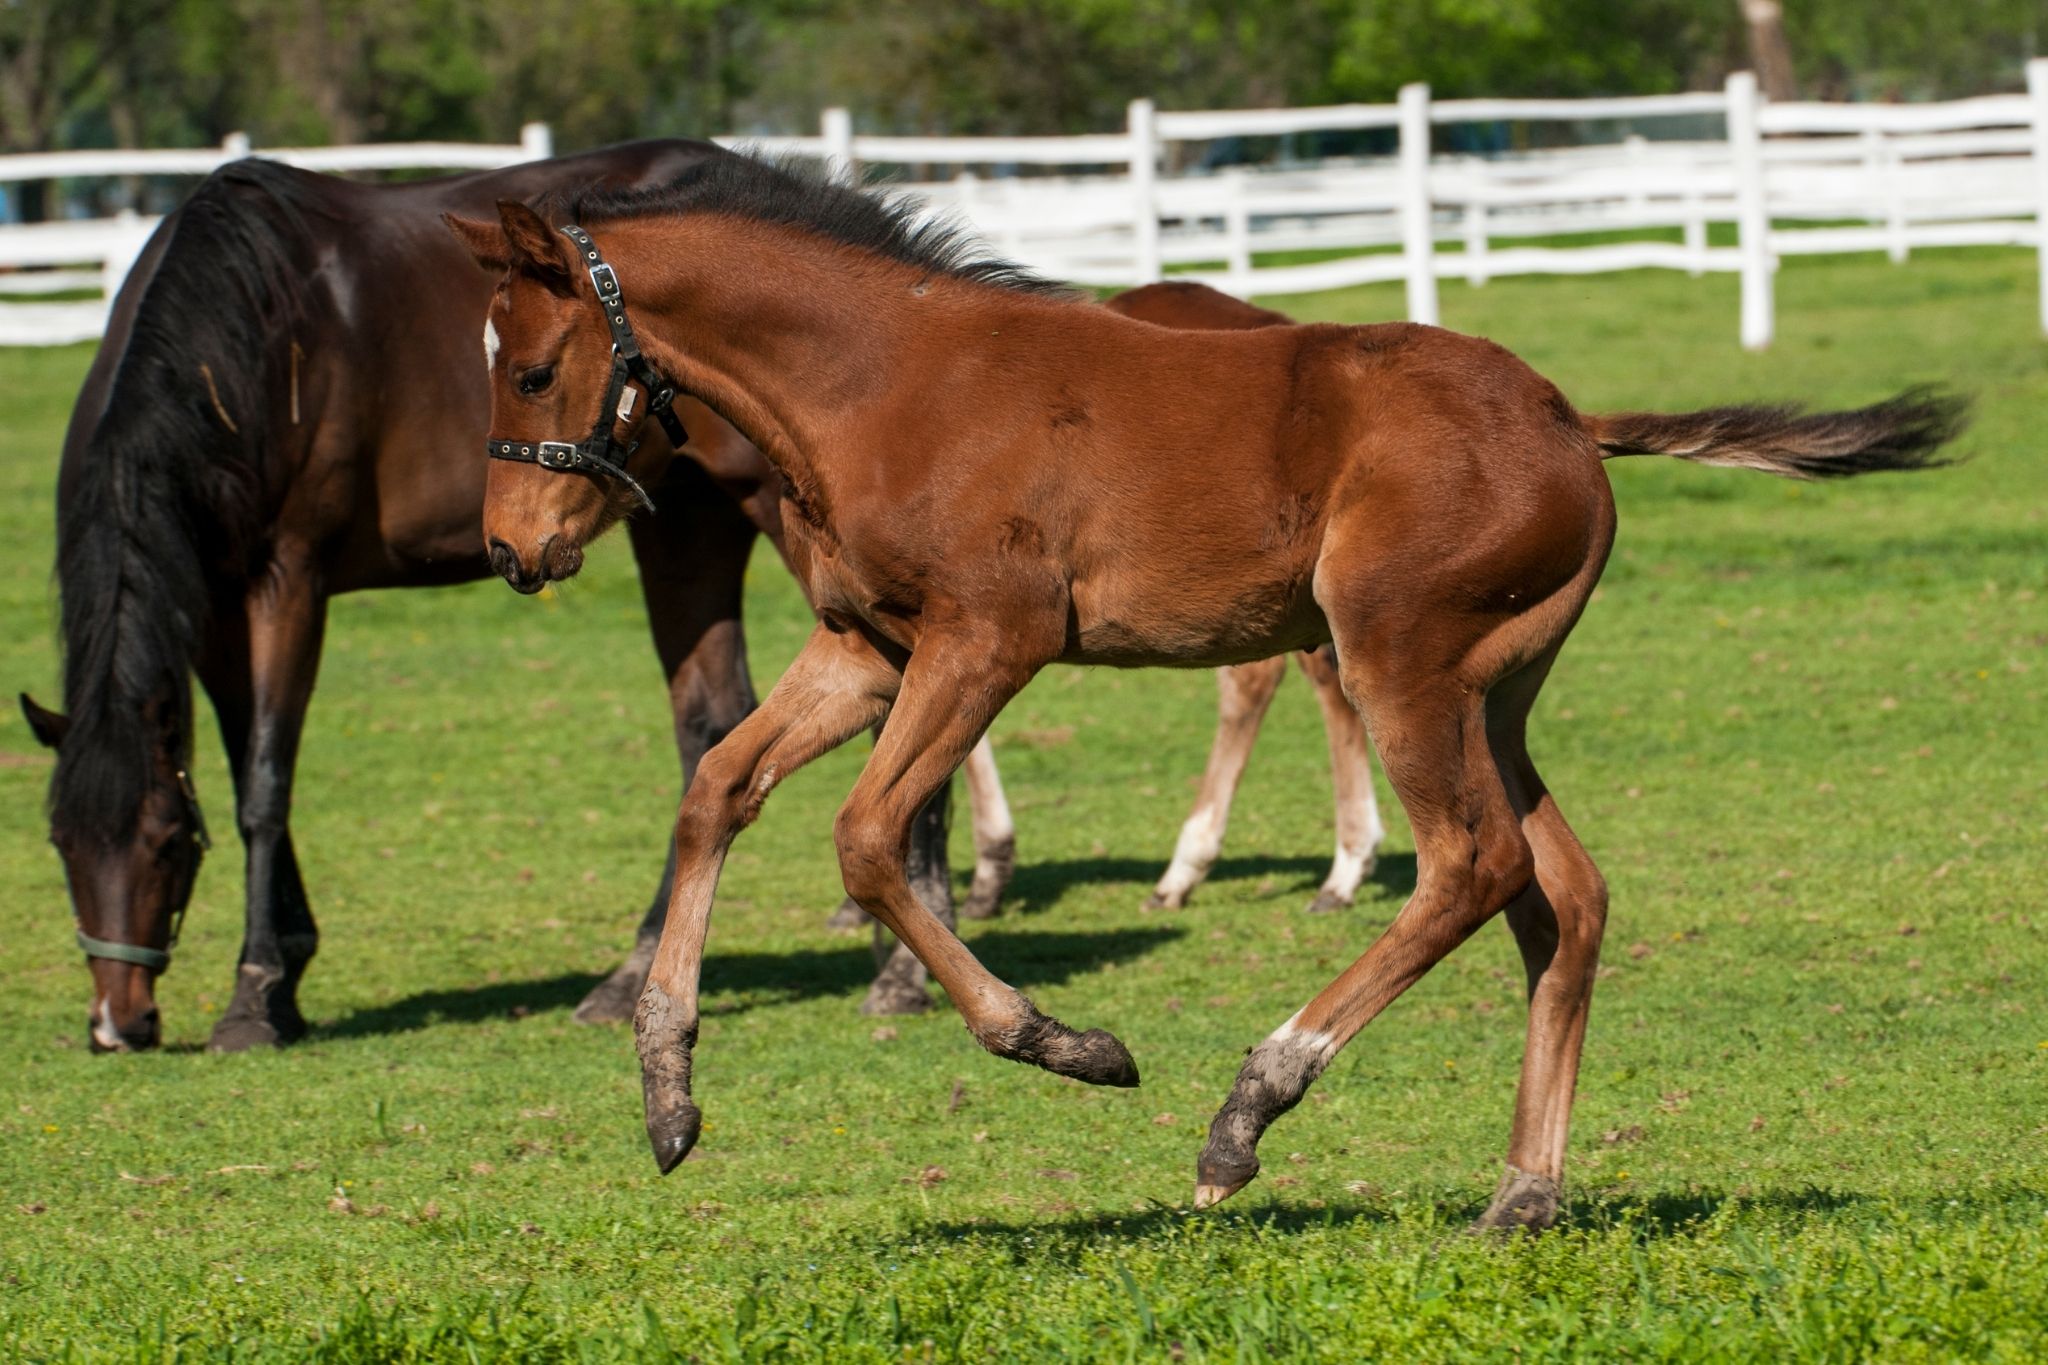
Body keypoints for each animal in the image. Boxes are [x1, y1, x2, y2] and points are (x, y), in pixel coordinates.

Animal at [22, 141, 983, 1055]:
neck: (247, 327)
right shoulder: (218, 597)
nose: (117, 1022)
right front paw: (286, 969)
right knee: (713, 721)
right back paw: (636, 970)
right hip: (684, 526)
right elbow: (246, 769)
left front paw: (254, 995)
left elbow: (264, 783)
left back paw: (904, 967)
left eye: (164, 843)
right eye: (59, 843)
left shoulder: (286, 578)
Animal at [444, 157, 1949, 1227]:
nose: (515, 551)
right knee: (1560, 896)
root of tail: (1573, 420)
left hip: (1395, 657)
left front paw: (1064, 1041)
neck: (881, 383)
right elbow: (715, 788)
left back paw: (1247, 1110)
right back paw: (1521, 1194)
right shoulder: (865, 647)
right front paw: (666, 1092)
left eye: (536, 367)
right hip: (1492, 694)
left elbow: (866, 840)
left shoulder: (988, 642)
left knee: (1471, 862)